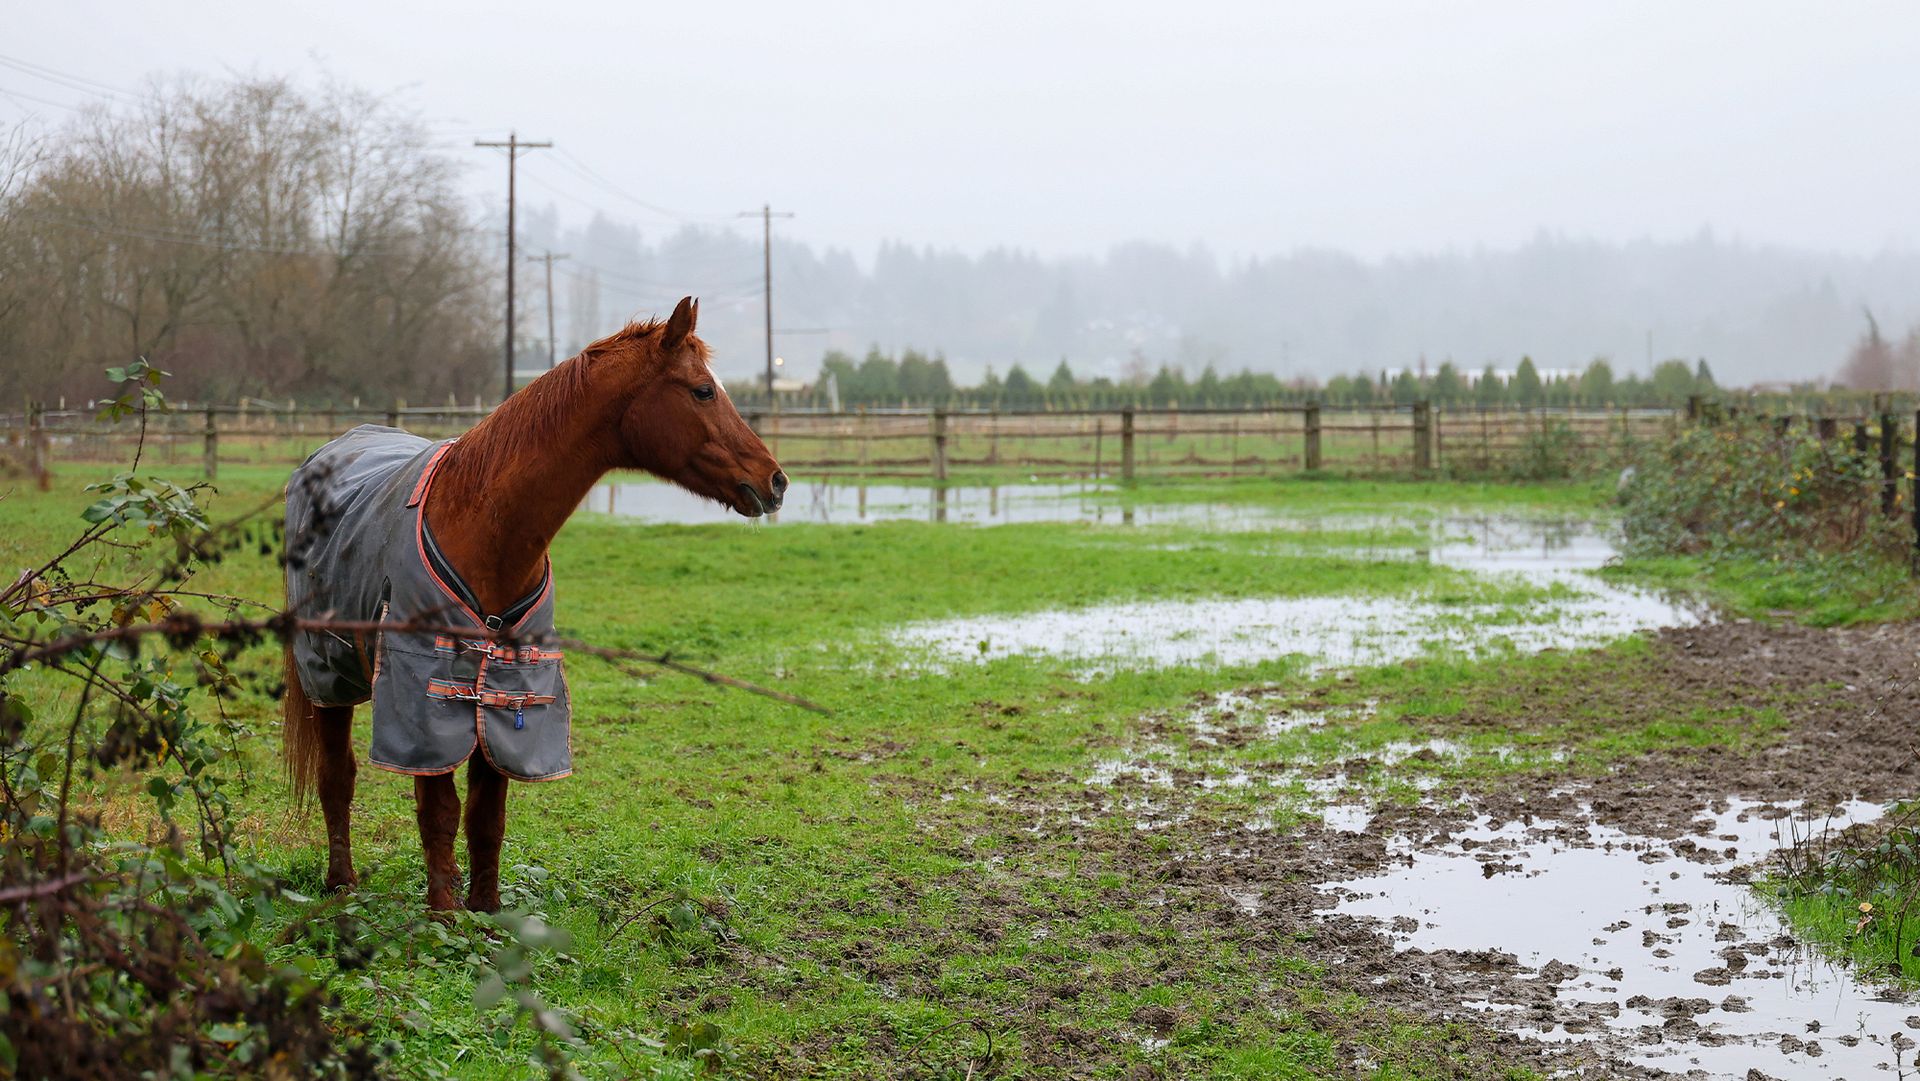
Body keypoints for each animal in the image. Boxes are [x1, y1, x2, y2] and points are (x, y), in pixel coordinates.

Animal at [281, 297, 784, 911]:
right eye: (703, 391)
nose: (776, 481)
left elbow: (486, 815)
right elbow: (438, 812)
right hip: (328, 676)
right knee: (337, 777)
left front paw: (487, 913)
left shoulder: (505, 693)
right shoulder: (423, 698)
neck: (479, 527)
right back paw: (340, 885)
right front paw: (444, 917)